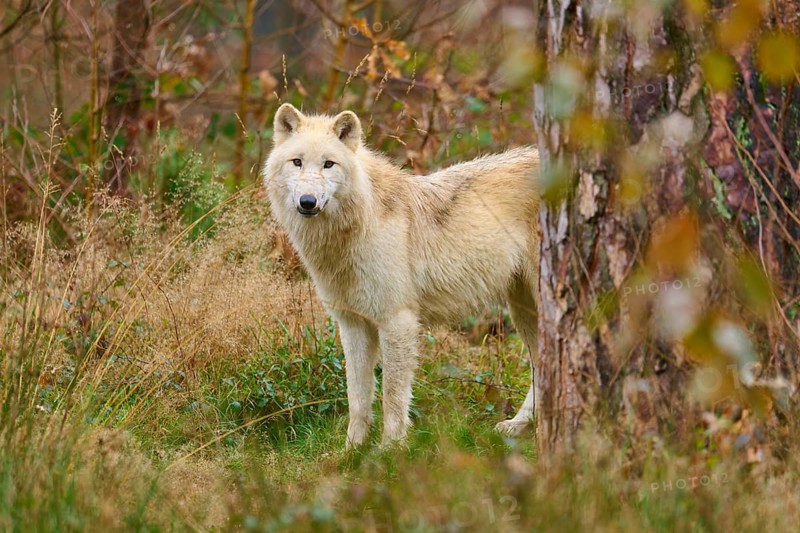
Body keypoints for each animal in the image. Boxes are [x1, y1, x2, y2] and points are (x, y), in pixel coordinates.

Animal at [262, 103, 540, 447]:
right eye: (297, 162)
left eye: (328, 164)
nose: (308, 202)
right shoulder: (352, 324)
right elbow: (358, 397)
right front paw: (352, 450)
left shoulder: (397, 321)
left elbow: (392, 397)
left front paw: (390, 449)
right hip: (523, 309)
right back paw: (519, 425)